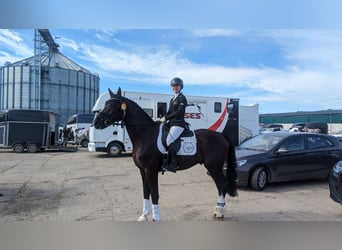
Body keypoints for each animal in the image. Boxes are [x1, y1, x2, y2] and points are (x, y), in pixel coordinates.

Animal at [93, 88, 238, 221]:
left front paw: (156, 217)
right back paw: (219, 211)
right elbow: (146, 192)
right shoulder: (142, 171)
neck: (145, 135)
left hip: (214, 167)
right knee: (221, 186)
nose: (96, 122)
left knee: (222, 185)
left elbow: (154, 193)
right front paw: (144, 216)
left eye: (112, 105)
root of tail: (221, 136)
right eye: (106, 104)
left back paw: (219, 212)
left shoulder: (151, 170)